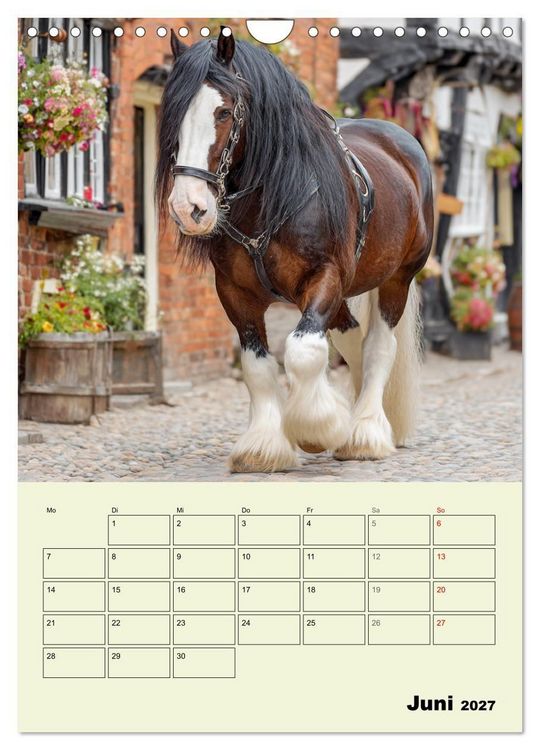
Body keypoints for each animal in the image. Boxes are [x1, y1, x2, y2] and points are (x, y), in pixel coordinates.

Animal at [156, 28, 434, 474]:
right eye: (174, 111)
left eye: (224, 111)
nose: (188, 208)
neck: (273, 197)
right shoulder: (235, 293)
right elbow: (258, 366)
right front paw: (263, 446)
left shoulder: (324, 278)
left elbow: (301, 351)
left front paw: (316, 429)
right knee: (351, 340)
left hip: (397, 279)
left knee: (377, 347)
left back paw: (365, 431)